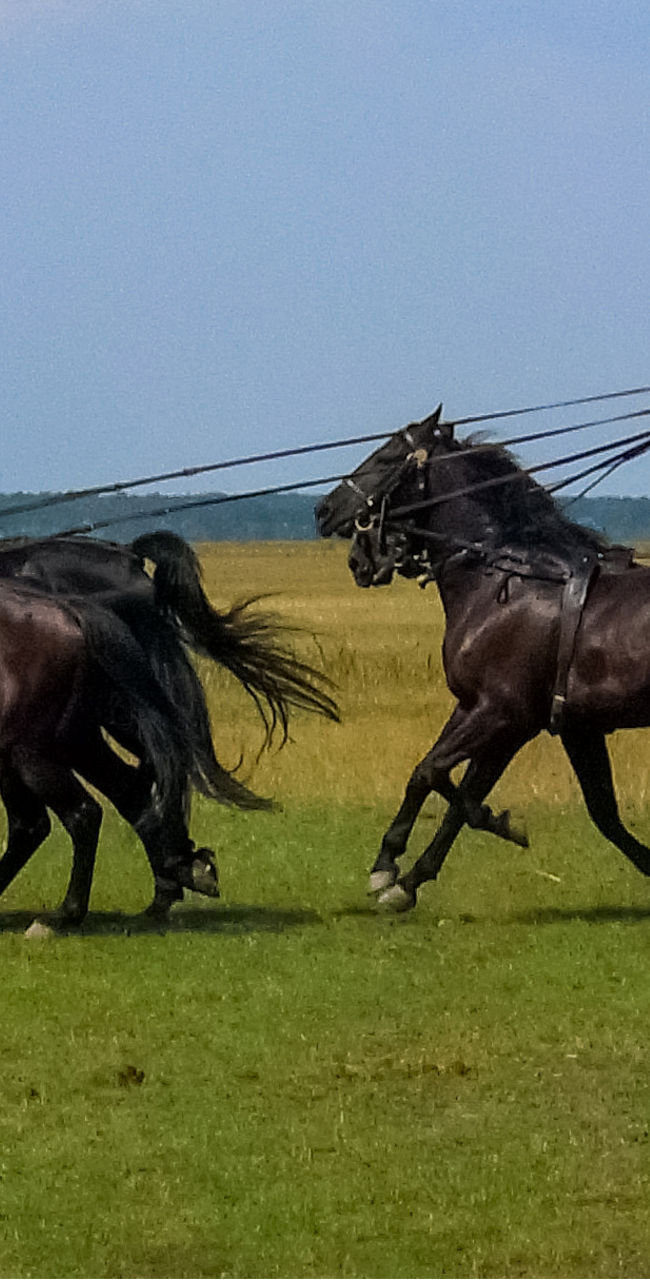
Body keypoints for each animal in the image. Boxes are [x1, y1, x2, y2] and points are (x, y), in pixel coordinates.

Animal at [0, 579, 275, 925]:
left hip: (33, 753)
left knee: (78, 815)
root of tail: (72, 612)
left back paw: (64, 916)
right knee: (108, 799)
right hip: (68, 743)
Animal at [315, 405, 650, 913]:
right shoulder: (539, 721)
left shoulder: (503, 714)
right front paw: (399, 873)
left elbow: (436, 773)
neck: (506, 580)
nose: (325, 510)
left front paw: (486, 824)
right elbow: (601, 812)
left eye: (387, 455)